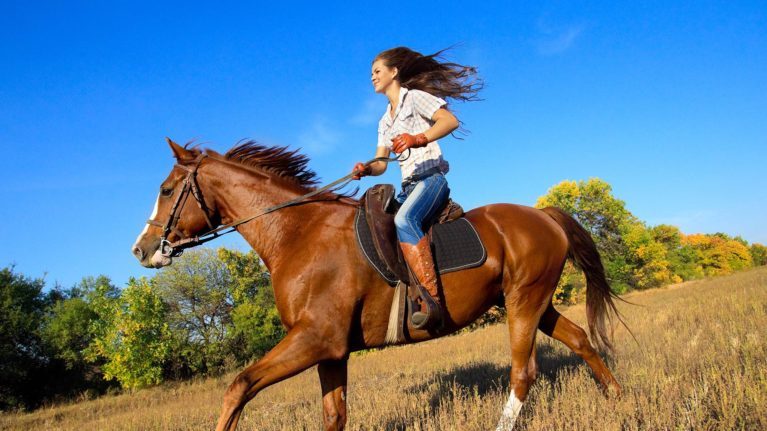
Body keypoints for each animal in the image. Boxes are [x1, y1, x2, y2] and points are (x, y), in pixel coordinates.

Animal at [132, 140, 624, 430]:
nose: (141, 249)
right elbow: (334, 415)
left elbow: (239, 386)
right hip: (533, 302)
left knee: (524, 372)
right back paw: (618, 398)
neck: (296, 233)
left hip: (524, 303)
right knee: (580, 339)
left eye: (166, 189)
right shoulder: (331, 351)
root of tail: (544, 214)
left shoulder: (315, 339)